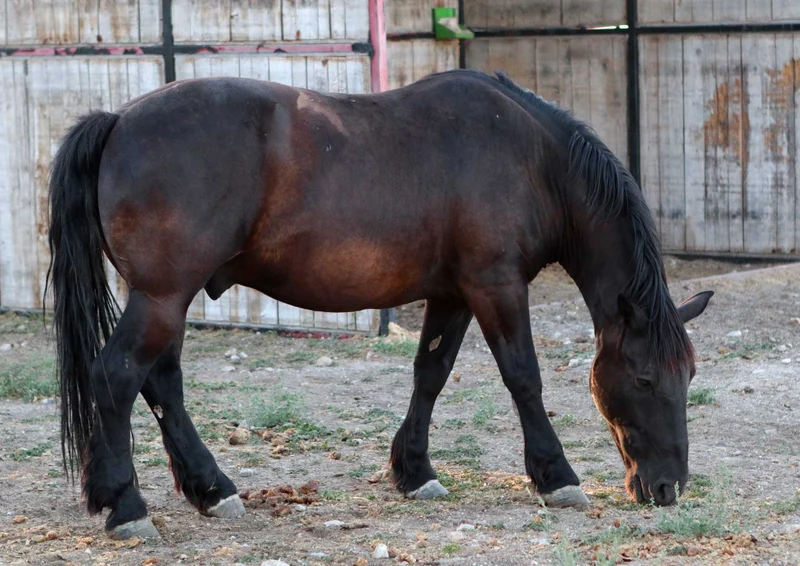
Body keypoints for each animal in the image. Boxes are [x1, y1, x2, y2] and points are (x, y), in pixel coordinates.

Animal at [46, 69, 712, 539]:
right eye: (645, 379)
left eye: (688, 375)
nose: (668, 488)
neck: (531, 158)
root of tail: (119, 119)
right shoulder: (495, 286)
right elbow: (523, 377)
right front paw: (557, 477)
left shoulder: (452, 293)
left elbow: (431, 373)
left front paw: (414, 472)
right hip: (162, 298)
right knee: (118, 377)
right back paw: (127, 506)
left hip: (166, 300)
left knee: (161, 384)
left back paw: (210, 489)